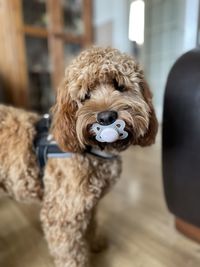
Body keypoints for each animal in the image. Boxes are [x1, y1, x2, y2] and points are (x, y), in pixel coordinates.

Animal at [0, 47, 158, 266]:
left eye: (119, 86)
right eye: (85, 96)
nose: (106, 117)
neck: (96, 151)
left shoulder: (88, 204)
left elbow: (91, 225)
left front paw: (95, 244)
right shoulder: (62, 213)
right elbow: (70, 253)